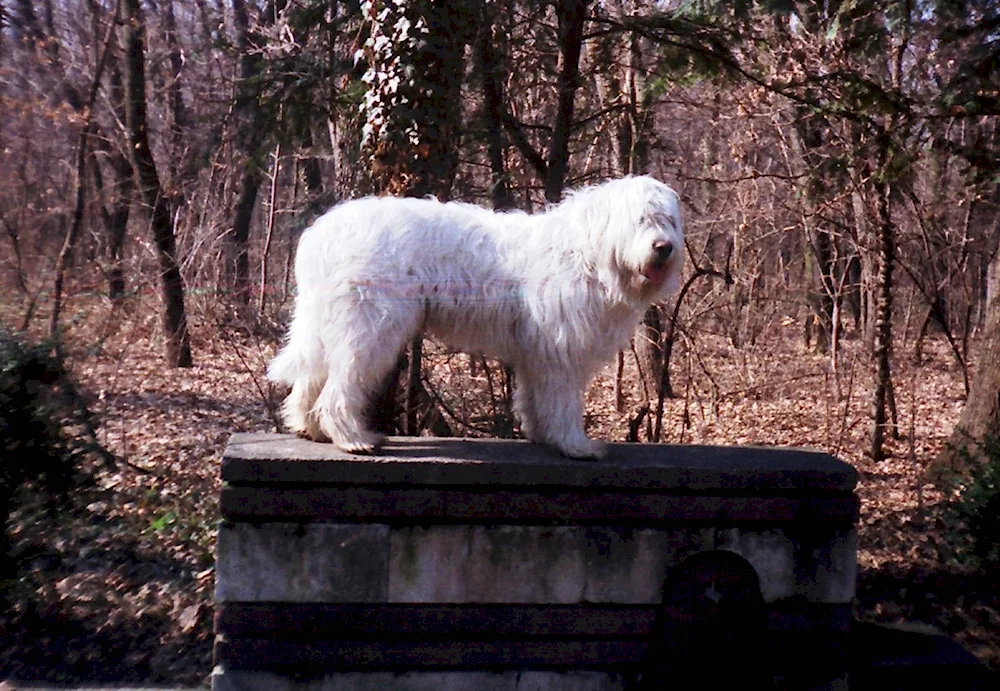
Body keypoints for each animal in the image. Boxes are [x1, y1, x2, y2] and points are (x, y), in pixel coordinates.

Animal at [270, 176, 684, 462]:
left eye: (669, 221)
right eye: (641, 219)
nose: (664, 247)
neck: (590, 253)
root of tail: (321, 234)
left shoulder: (539, 351)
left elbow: (534, 397)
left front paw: (540, 434)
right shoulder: (561, 350)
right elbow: (563, 401)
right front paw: (575, 445)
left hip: (332, 326)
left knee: (311, 380)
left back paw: (312, 428)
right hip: (368, 328)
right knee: (338, 388)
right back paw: (353, 439)